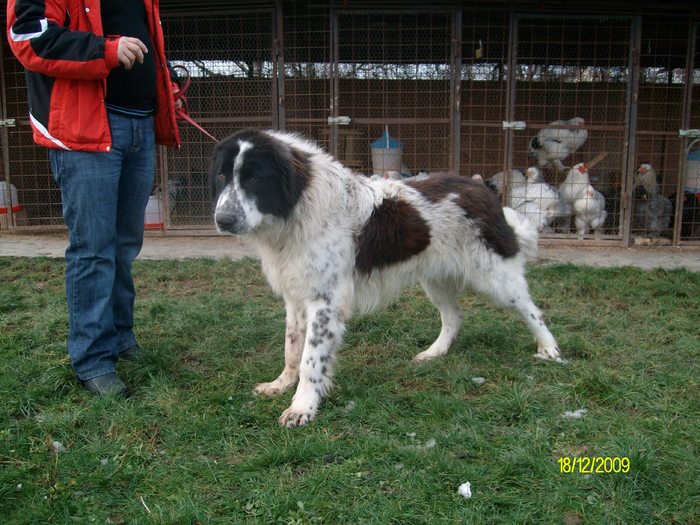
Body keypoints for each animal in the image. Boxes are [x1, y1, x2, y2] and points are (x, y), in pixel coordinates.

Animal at [209, 129, 564, 428]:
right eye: (223, 176)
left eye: (254, 178)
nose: (222, 220)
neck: (296, 208)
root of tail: (482, 189)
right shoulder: (296, 296)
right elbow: (292, 348)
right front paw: (281, 384)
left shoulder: (325, 301)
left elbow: (311, 359)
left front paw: (302, 407)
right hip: (435, 278)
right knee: (454, 316)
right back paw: (435, 353)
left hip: (495, 277)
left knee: (532, 310)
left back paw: (549, 349)